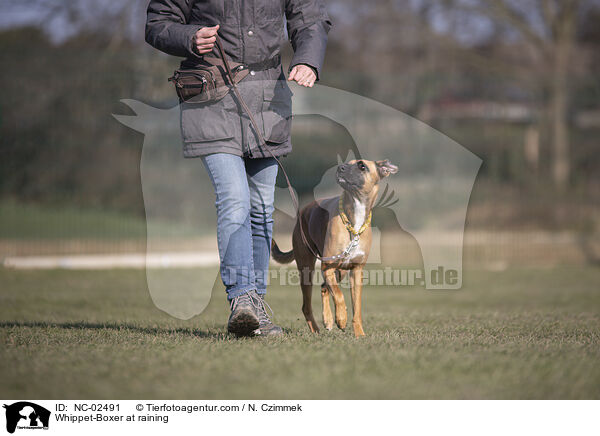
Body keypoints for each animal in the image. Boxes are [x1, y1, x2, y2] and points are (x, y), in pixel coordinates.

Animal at [274, 158, 398, 336]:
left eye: (362, 166)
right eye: (348, 162)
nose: (341, 167)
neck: (355, 217)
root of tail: (302, 214)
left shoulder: (356, 271)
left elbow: (356, 307)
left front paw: (359, 333)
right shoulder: (328, 267)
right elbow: (339, 295)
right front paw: (341, 318)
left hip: (341, 271)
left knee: (324, 288)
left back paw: (327, 320)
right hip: (307, 269)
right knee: (307, 305)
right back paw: (317, 329)